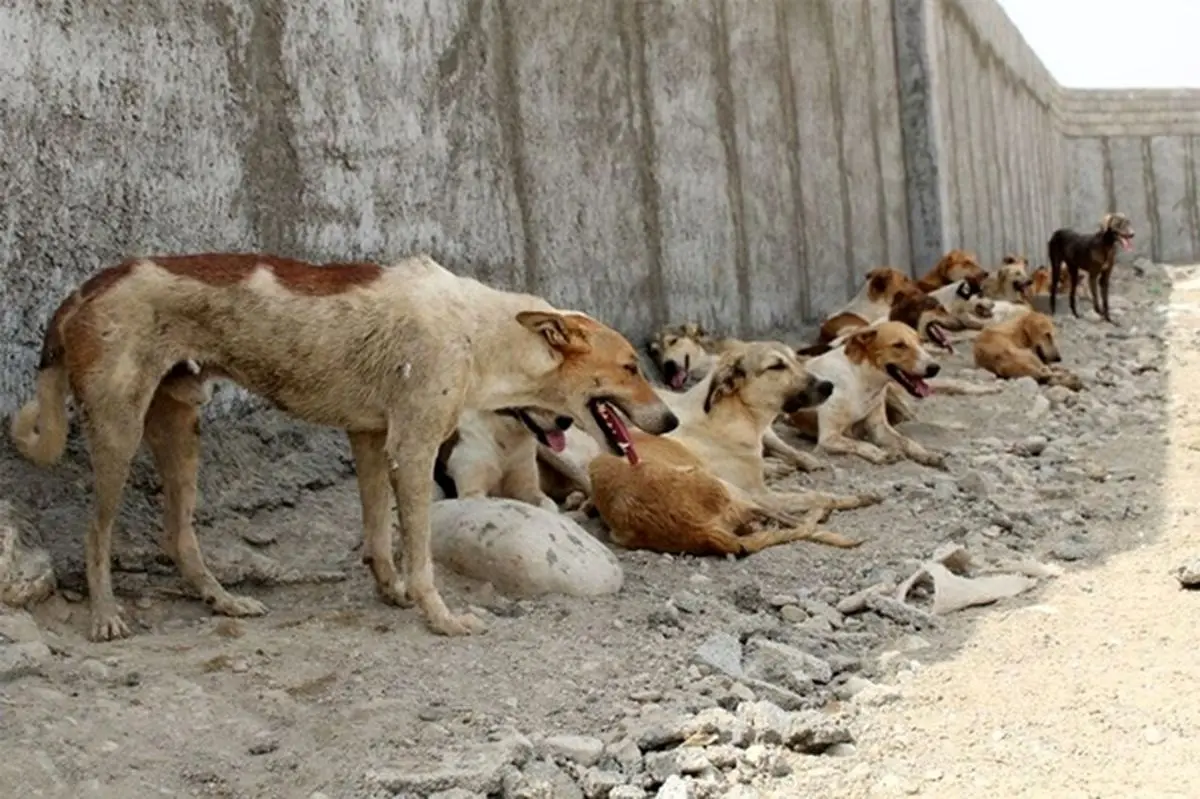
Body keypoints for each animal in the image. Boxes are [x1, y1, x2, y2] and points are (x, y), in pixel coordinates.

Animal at [588, 340, 883, 554]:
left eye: (794, 359)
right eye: (776, 366)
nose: (828, 386)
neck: (732, 414)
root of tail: (698, 530)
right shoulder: (761, 493)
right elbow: (818, 495)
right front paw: (850, 498)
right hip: (737, 492)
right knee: (798, 519)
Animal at [792, 321, 950, 467]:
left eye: (921, 342)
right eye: (899, 345)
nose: (935, 368)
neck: (860, 380)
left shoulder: (879, 429)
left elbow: (906, 441)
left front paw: (926, 454)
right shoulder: (828, 437)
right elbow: (861, 444)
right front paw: (882, 454)